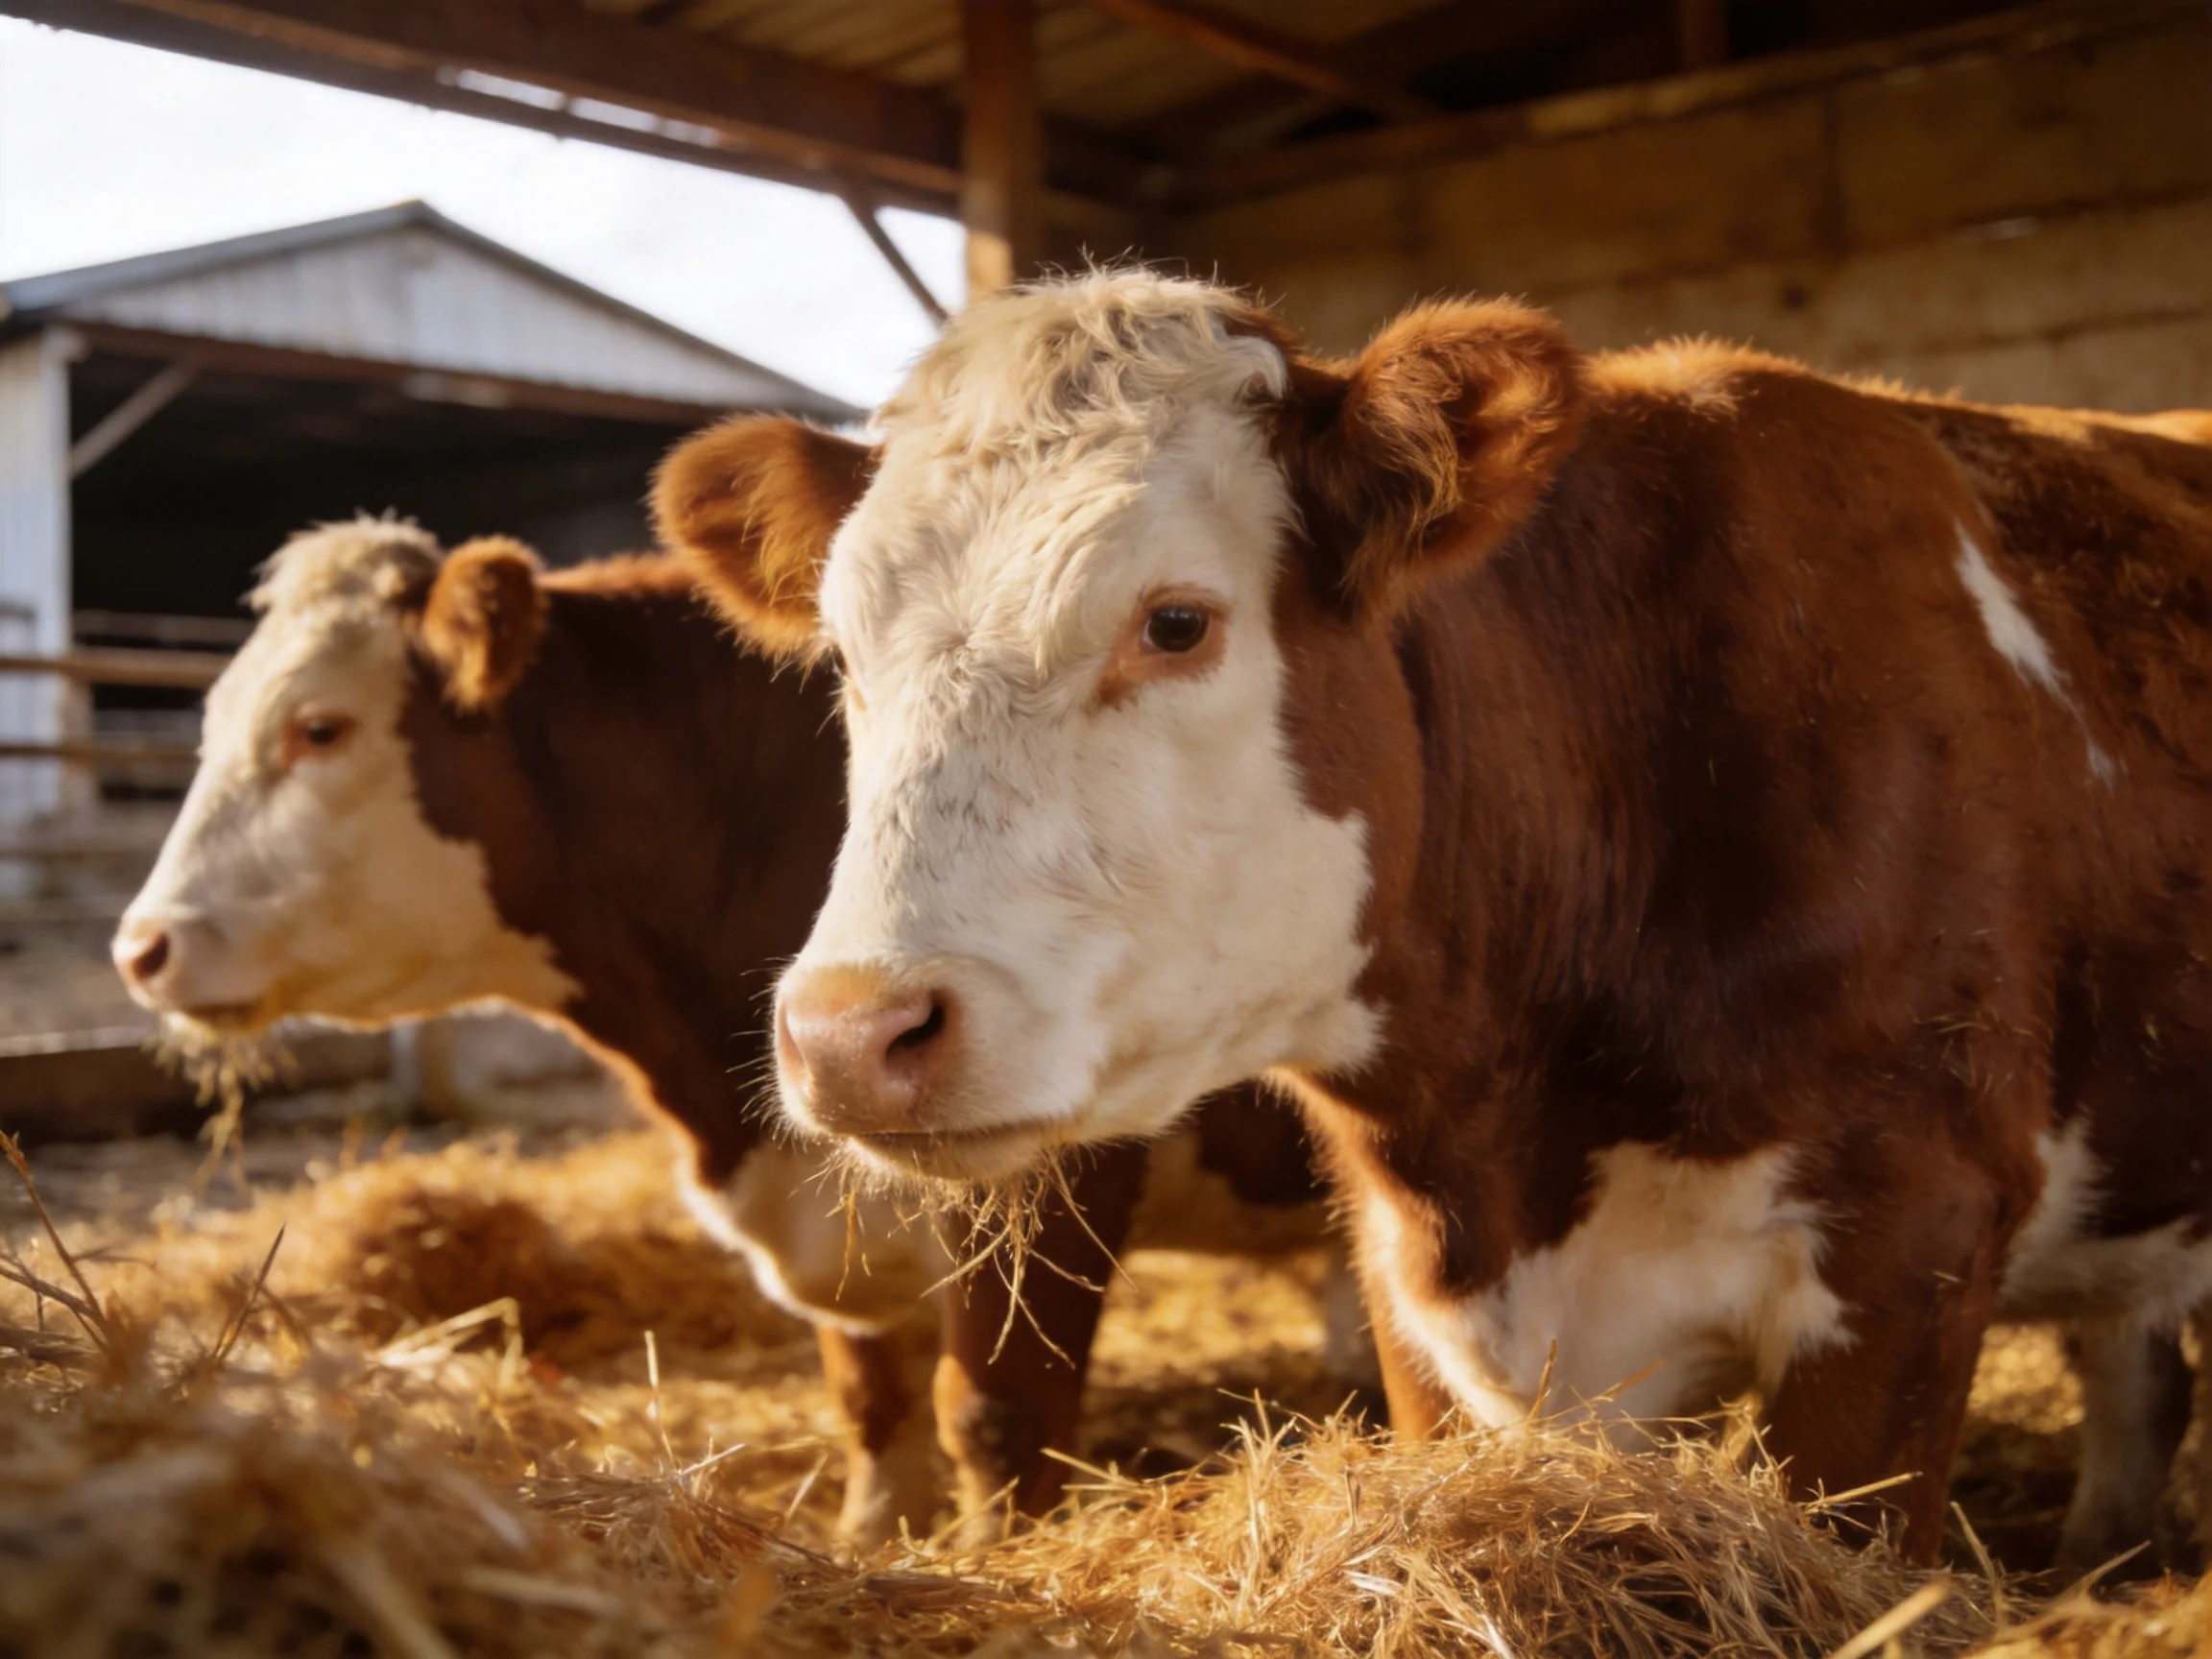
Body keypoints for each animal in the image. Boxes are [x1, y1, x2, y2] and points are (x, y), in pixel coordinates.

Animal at [111, 520, 1357, 1549]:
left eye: (318, 729)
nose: (141, 948)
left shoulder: (1055, 1176)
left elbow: (997, 1413)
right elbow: (873, 1402)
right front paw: (874, 1537)